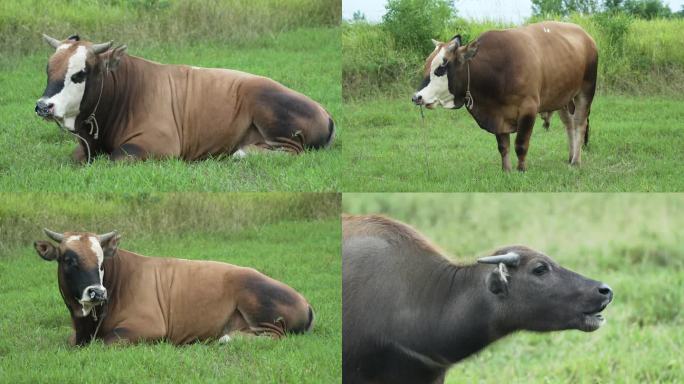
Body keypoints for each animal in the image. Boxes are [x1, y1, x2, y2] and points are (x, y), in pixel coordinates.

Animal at [34, 33, 334, 164]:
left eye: (79, 74)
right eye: (48, 70)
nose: (43, 106)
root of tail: (325, 112)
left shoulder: (159, 145)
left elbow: (118, 157)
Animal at [36, 228, 314, 344]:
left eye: (102, 262)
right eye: (69, 260)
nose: (97, 292)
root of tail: (305, 301)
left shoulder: (148, 328)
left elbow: (105, 342)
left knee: (273, 336)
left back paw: (227, 338)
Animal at [412, 21, 600, 171]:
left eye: (441, 68)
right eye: (426, 66)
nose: (416, 97)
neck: (499, 69)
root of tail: (586, 37)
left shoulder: (528, 109)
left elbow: (521, 145)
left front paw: (521, 170)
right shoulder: (498, 115)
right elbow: (503, 146)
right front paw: (506, 170)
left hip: (585, 92)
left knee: (580, 124)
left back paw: (576, 161)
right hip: (563, 99)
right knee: (569, 125)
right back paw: (571, 156)